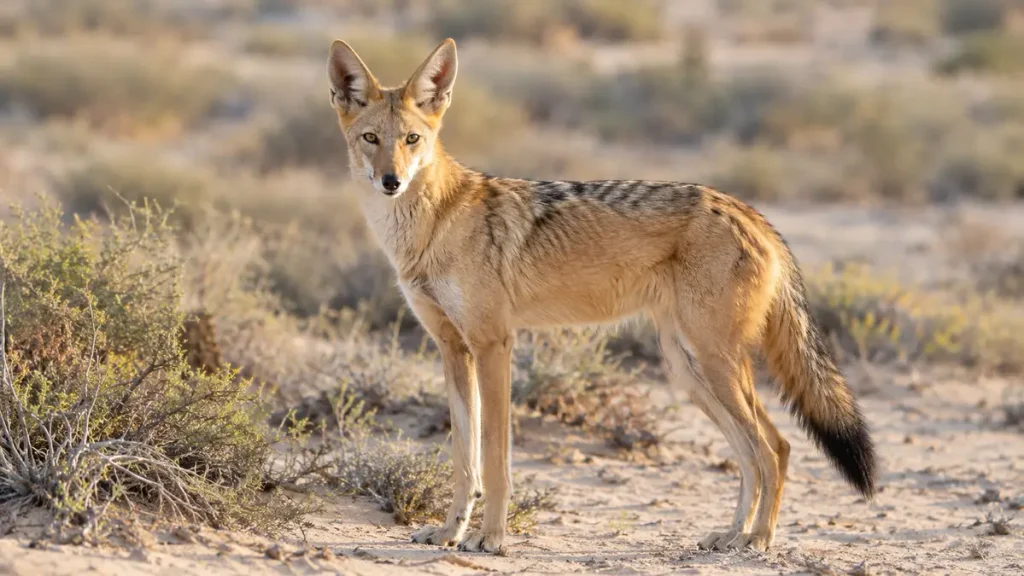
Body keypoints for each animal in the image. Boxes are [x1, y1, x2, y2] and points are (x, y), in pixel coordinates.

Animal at [325, 37, 876, 554]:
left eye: (412, 139)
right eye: (371, 139)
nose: (391, 181)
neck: (432, 226)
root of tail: (748, 210)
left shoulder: (493, 345)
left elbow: (496, 459)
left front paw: (492, 539)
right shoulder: (452, 348)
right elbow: (465, 457)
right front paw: (448, 532)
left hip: (713, 364)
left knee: (774, 448)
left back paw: (758, 540)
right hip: (688, 369)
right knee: (754, 451)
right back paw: (731, 534)